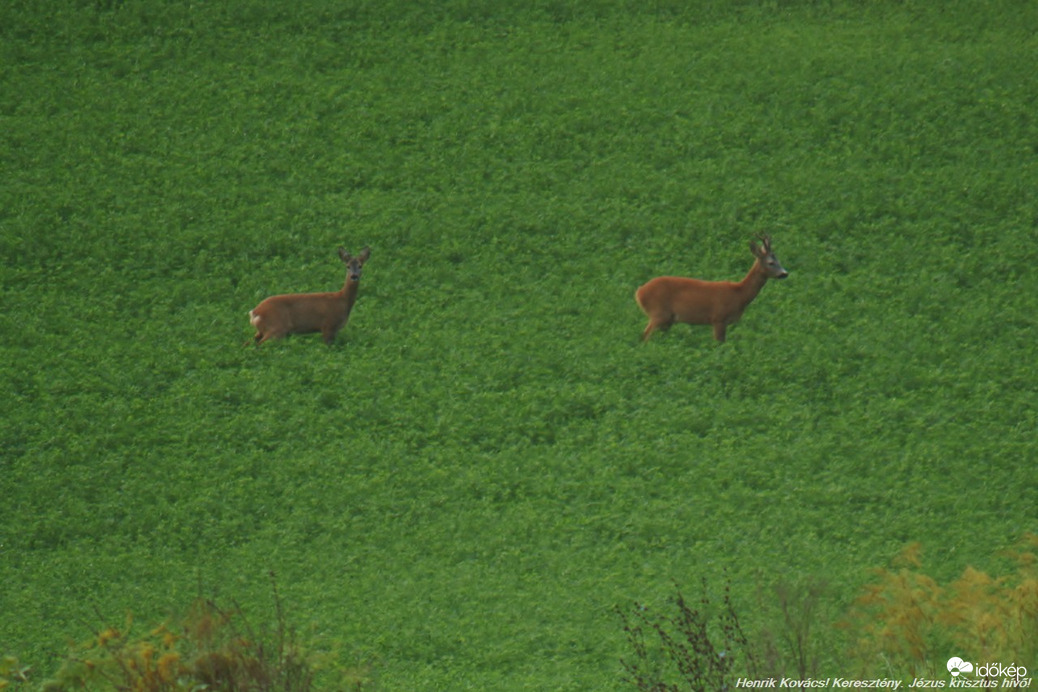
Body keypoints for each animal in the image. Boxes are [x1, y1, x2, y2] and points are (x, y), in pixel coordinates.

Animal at [631, 235, 784, 344]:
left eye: (779, 261)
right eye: (771, 262)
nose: (784, 273)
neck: (739, 294)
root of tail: (639, 292)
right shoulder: (718, 318)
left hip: (667, 320)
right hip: (658, 314)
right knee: (645, 336)